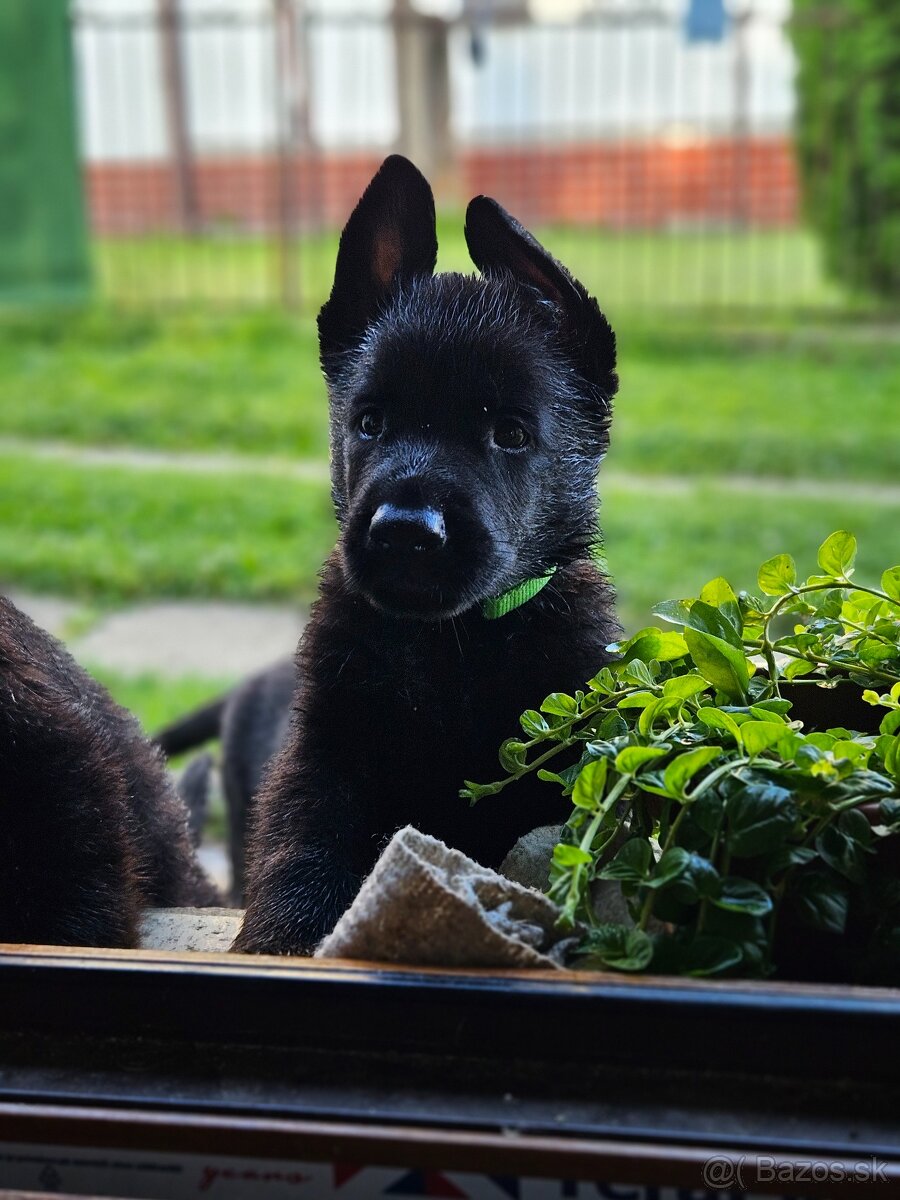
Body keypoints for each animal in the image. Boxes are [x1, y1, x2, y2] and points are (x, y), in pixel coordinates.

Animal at [232, 154, 624, 950]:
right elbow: (299, 849)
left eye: (510, 433)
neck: (451, 644)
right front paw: (284, 940)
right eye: (370, 422)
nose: (406, 530)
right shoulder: (324, 753)